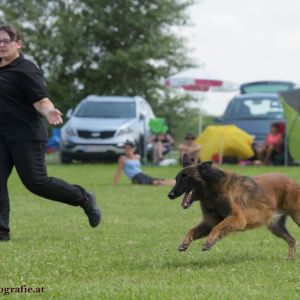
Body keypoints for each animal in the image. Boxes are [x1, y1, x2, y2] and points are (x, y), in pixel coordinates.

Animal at [168, 155, 300, 258]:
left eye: (186, 178)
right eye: (176, 179)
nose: (170, 195)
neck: (212, 191)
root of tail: (293, 182)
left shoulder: (238, 218)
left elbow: (217, 227)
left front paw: (209, 241)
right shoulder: (210, 222)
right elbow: (193, 229)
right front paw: (185, 242)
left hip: (296, 217)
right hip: (275, 227)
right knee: (292, 240)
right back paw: (290, 258)